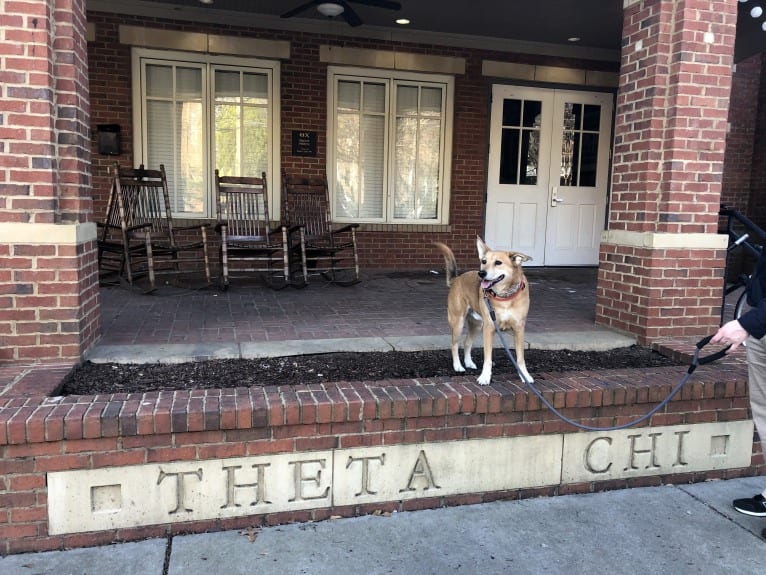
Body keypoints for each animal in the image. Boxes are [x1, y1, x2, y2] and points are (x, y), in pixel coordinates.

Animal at [438, 238, 536, 388]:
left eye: (498, 262)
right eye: (484, 261)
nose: (481, 273)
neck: (504, 297)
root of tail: (457, 278)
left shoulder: (519, 329)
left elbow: (520, 358)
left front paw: (525, 376)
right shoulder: (489, 328)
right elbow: (488, 358)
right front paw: (484, 377)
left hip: (477, 325)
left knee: (467, 342)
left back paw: (469, 363)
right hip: (458, 322)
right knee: (454, 344)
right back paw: (458, 366)